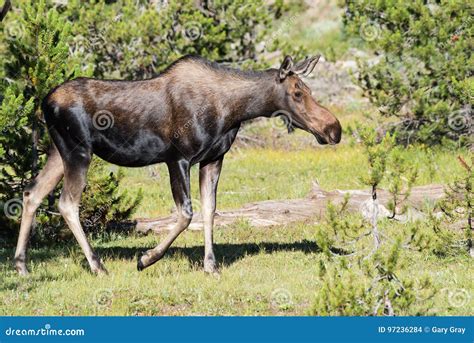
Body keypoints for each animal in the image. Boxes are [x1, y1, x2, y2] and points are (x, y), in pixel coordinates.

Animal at [13, 55, 340, 276]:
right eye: (297, 93)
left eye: (309, 90)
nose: (334, 129)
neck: (234, 110)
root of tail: (44, 101)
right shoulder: (178, 158)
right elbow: (185, 214)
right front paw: (146, 258)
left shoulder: (213, 159)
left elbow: (209, 211)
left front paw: (210, 266)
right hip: (79, 152)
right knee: (67, 203)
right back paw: (97, 266)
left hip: (59, 152)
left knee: (32, 193)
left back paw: (22, 266)